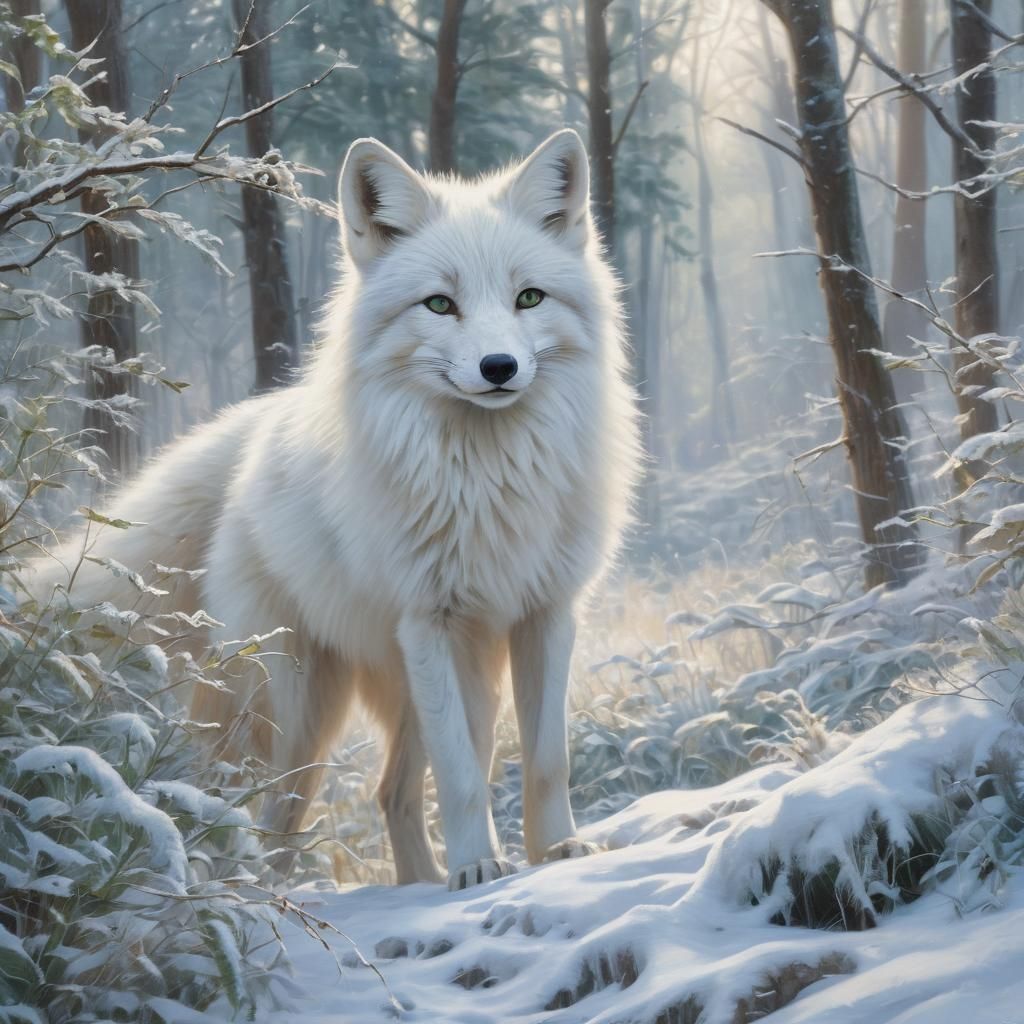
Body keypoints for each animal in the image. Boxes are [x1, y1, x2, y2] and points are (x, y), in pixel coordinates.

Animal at [34, 129, 641, 890]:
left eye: (529, 298)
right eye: (439, 305)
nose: (499, 367)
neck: (487, 479)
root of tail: (254, 434)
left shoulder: (547, 613)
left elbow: (546, 761)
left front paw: (557, 852)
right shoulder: (429, 622)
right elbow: (462, 780)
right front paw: (478, 868)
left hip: (441, 686)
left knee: (390, 794)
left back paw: (418, 882)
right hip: (299, 715)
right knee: (271, 818)